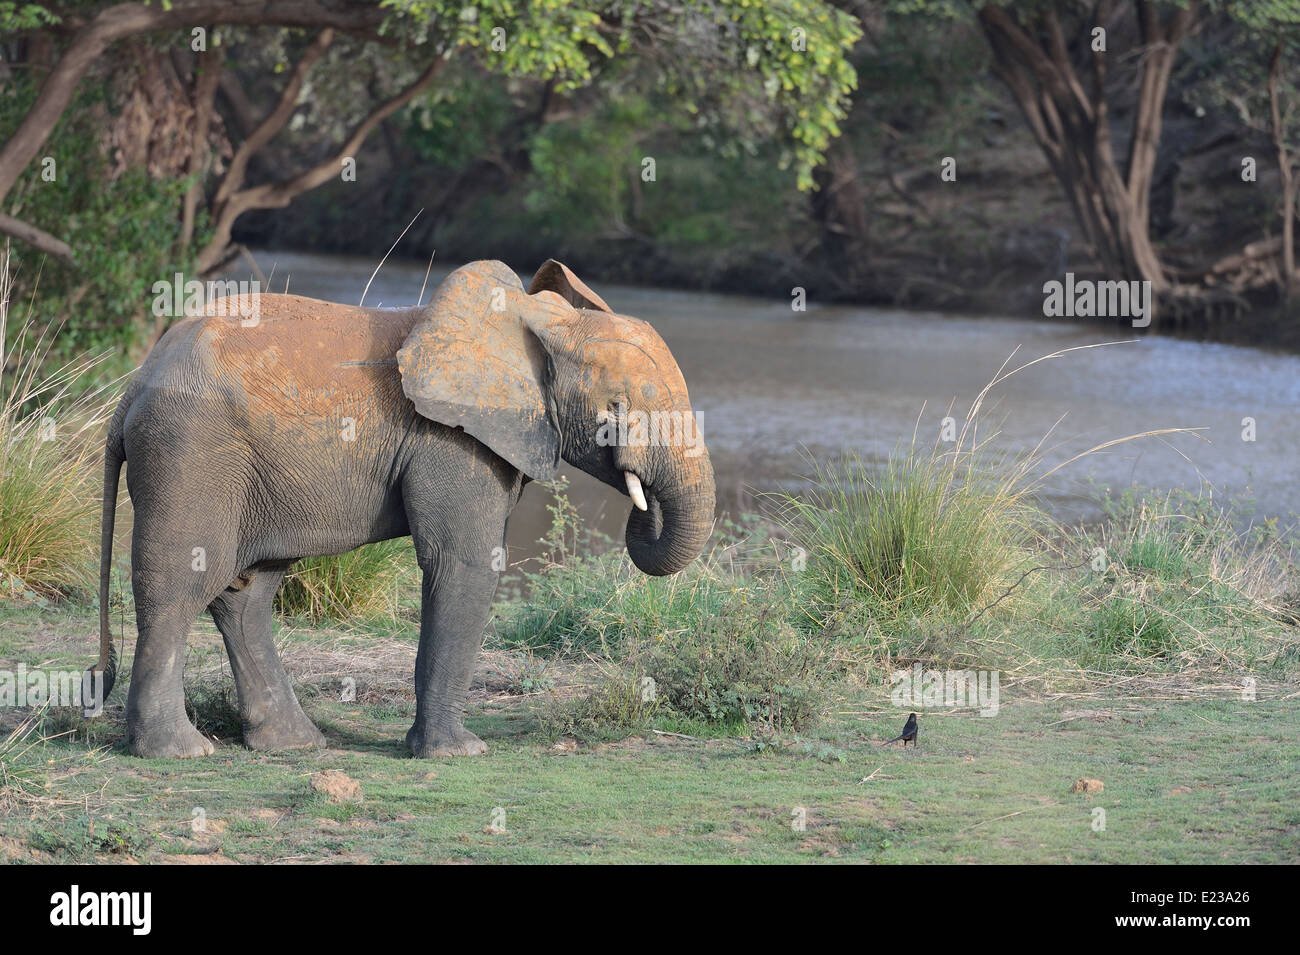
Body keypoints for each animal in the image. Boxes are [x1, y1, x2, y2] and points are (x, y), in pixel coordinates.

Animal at [89, 257, 722, 758]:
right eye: (616, 405)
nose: (639, 502)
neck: (530, 320)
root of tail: (132, 388)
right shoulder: (451, 439)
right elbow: (465, 563)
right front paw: (460, 754)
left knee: (248, 591)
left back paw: (294, 744)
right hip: (191, 451)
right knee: (181, 583)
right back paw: (178, 752)